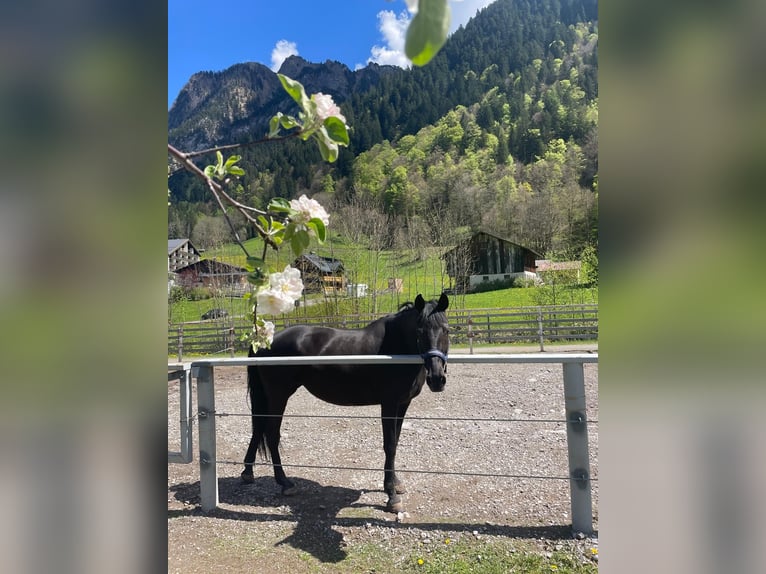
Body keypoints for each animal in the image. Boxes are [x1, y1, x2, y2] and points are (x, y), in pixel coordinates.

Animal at [241, 293, 450, 512]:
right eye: (419, 331)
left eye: (446, 330)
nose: (437, 379)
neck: (397, 348)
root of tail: (264, 342)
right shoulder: (389, 404)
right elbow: (390, 445)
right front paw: (391, 496)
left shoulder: (403, 404)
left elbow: (396, 442)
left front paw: (396, 484)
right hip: (278, 396)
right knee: (272, 434)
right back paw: (285, 483)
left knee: (258, 429)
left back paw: (248, 473)